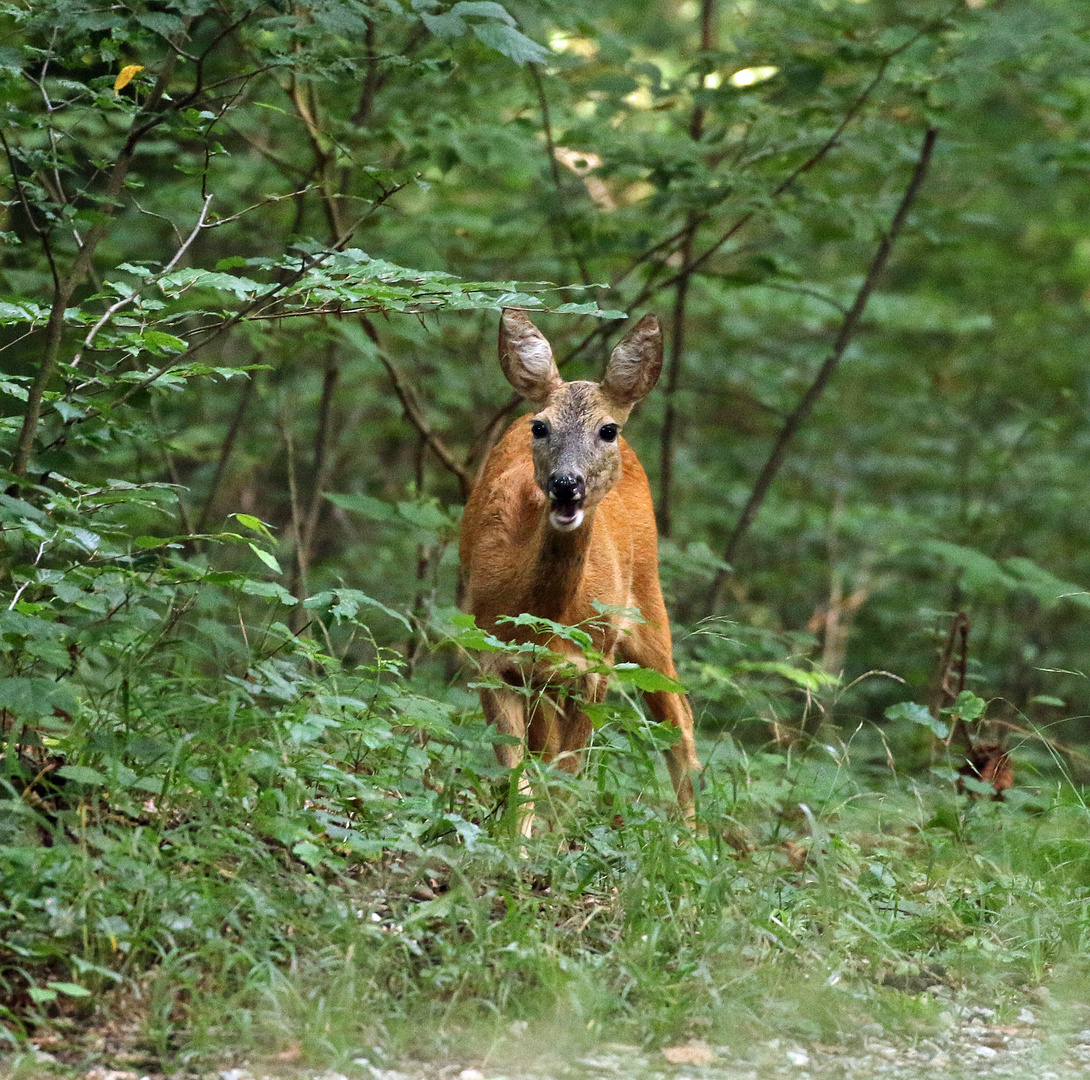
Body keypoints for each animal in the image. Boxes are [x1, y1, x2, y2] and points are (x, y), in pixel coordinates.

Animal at [457, 309, 697, 836]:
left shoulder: (595, 664)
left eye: (606, 430)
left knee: (680, 718)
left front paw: (555, 842)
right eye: (540, 427)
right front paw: (518, 845)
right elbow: (520, 776)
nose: (566, 484)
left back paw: (693, 837)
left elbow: (570, 773)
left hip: (649, 605)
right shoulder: (491, 655)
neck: (547, 614)